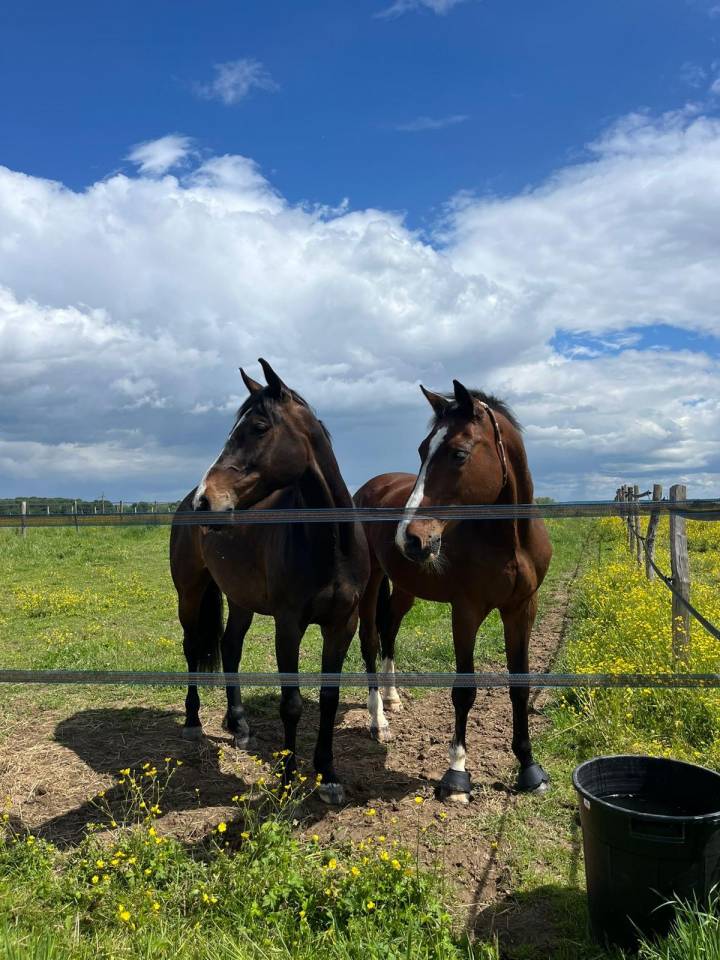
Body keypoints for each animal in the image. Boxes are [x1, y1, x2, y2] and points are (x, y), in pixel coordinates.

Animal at [169, 359, 369, 804]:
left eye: (259, 427)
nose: (206, 501)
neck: (329, 544)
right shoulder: (288, 624)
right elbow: (291, 703)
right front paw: (287, 778)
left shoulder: (343, 623)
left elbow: (328, 698)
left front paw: (328, 775)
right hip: (190, 592)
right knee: (192, 648)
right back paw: (193, 723)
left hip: (240, 599)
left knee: (230, 647)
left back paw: (239, 725)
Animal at [353, 379, 552, 802]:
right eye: (421, 450)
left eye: (459, 453)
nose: (409, 538)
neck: (509, 541)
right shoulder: (466, 611)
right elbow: (464, 690)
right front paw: (457, 774)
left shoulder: (522, 609)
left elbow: (520, 686)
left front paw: (529, 769)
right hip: (373, 582)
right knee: (370, 641)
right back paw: (379, 720)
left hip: (405, 589)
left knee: (389, 630)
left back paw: (393, 699)